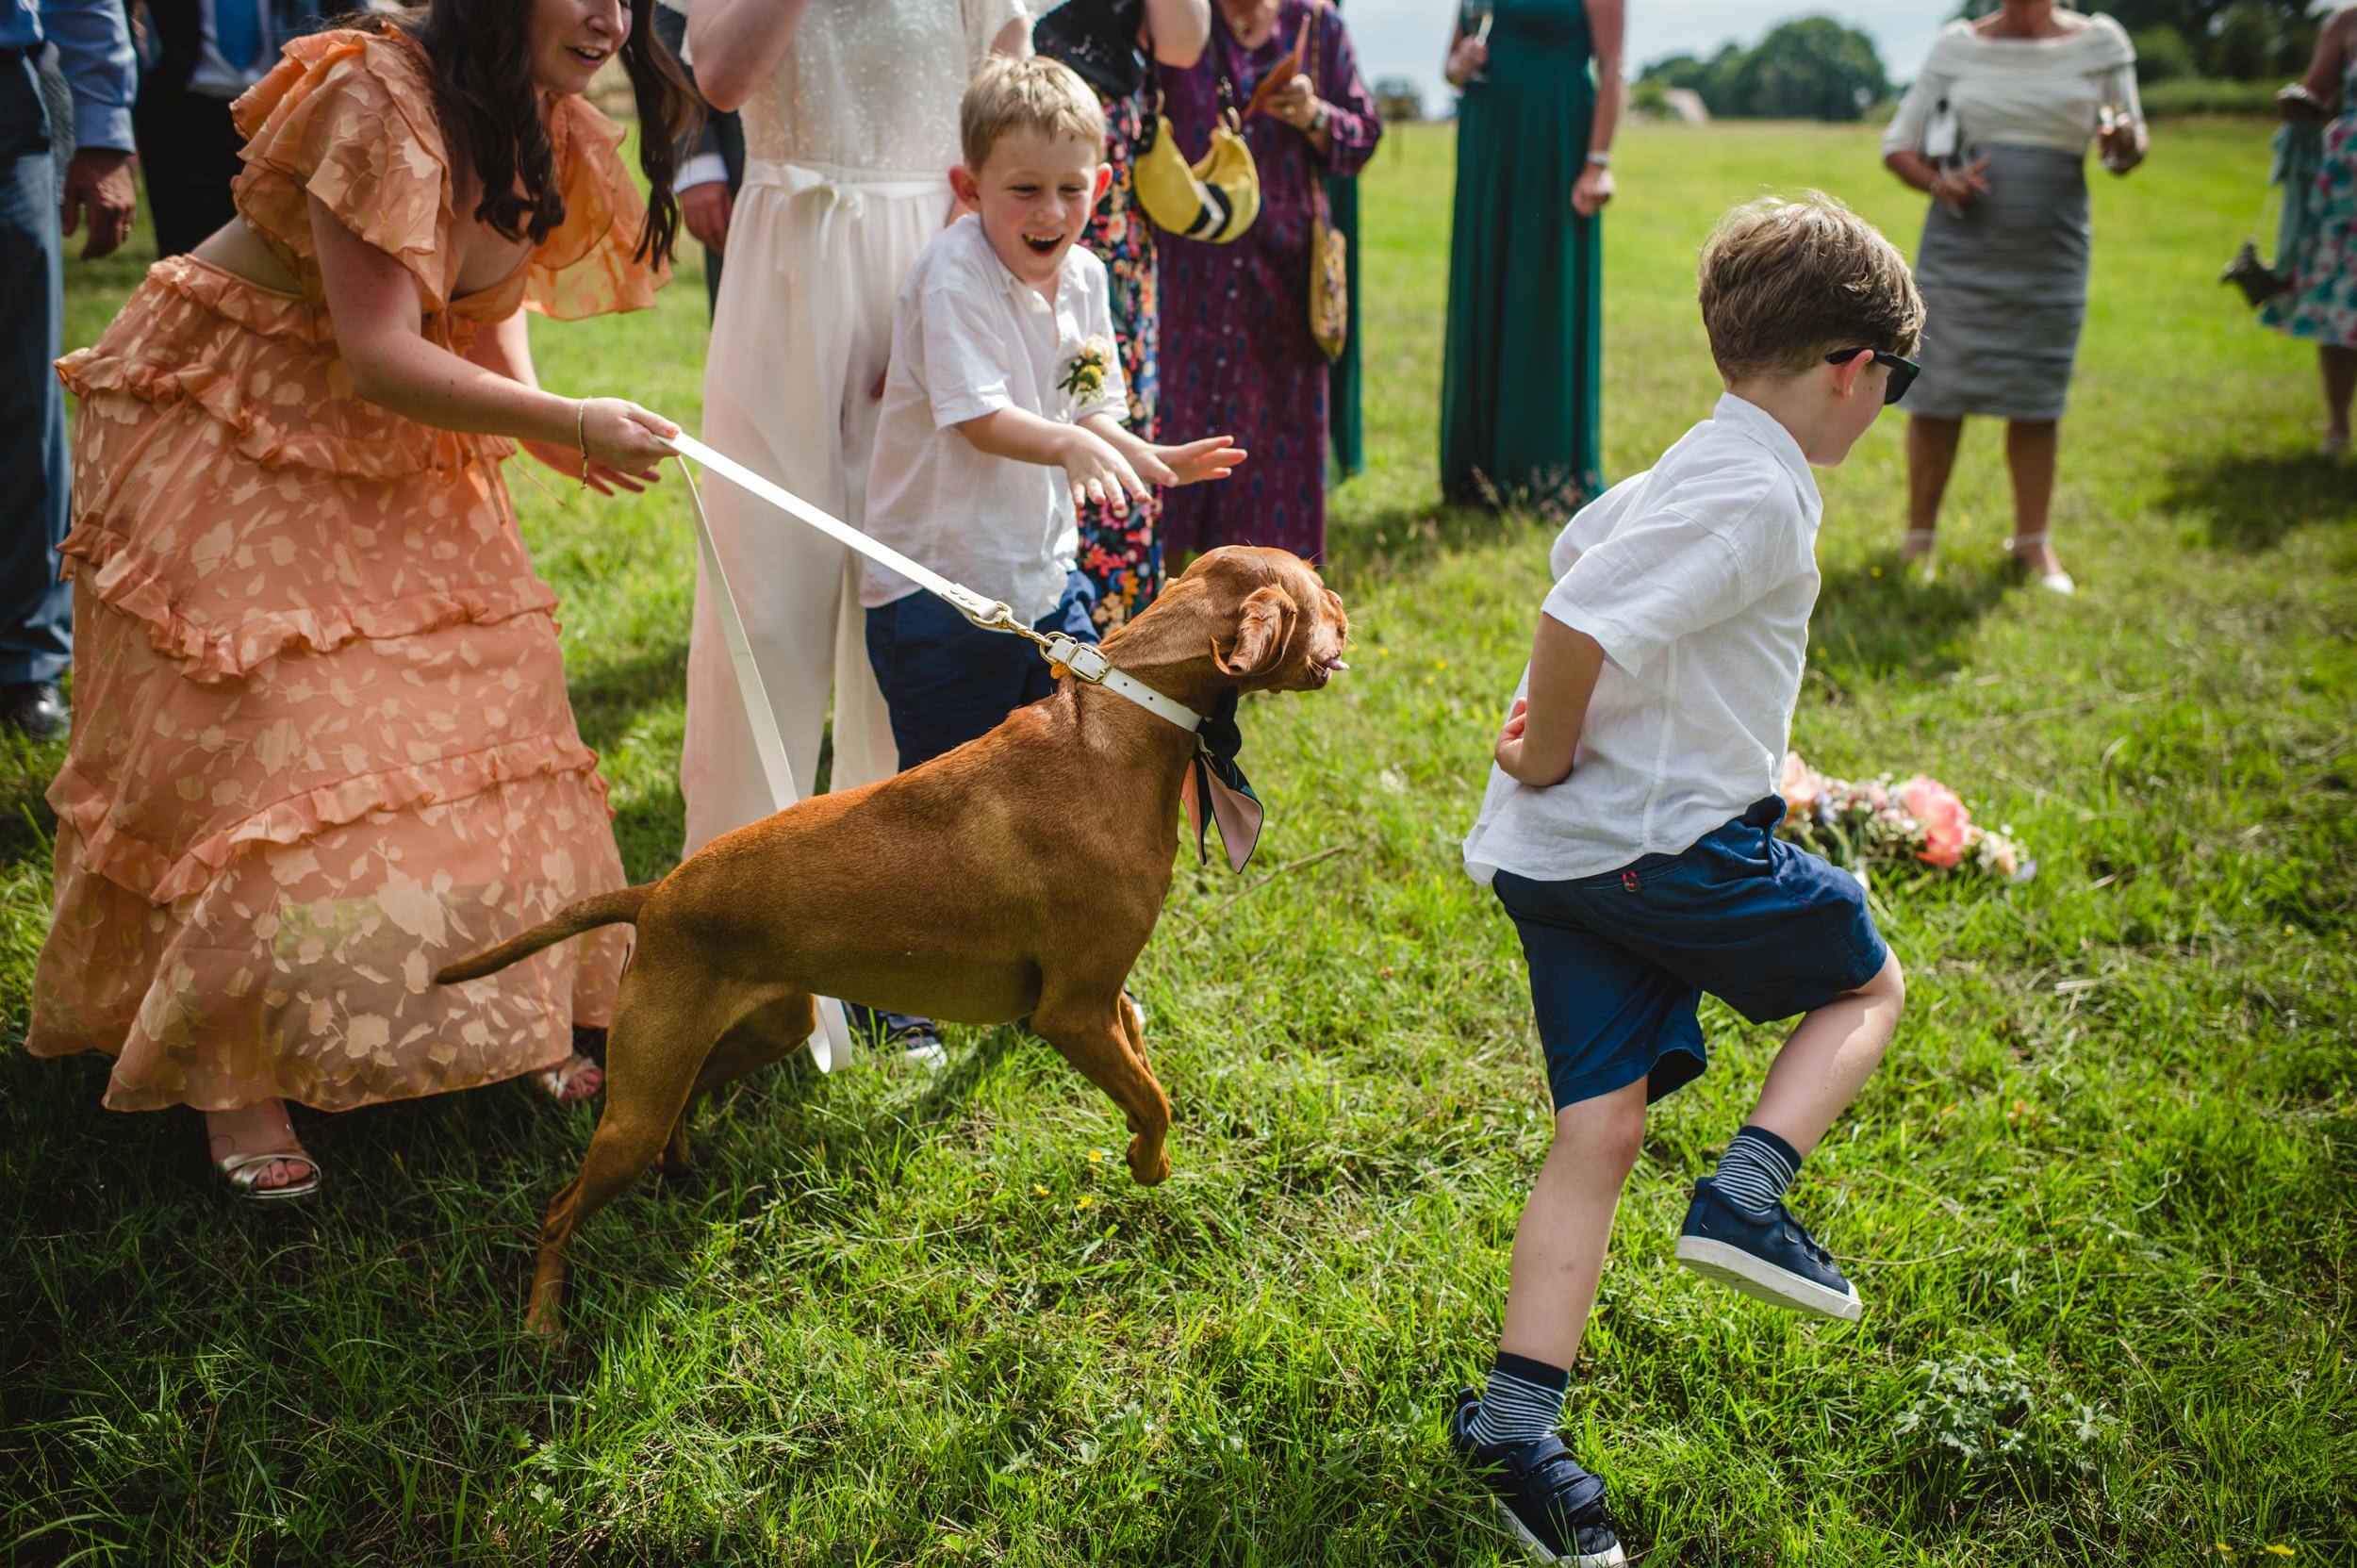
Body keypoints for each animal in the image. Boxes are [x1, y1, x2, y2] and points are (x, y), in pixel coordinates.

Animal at [438, 544, 1348, 1329]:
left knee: (683, 1108)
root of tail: (656, 892)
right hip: (635, 1106)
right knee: (560, 1208)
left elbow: (1147, 1075)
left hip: (760, 1033)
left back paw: (682, 1170)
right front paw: (1149, 1164)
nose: (1346, 610)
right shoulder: (1071, 1013)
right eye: (1317, 589)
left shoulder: (1107, 1001)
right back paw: (543, 1322)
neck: (1122, 721)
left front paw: (1142, 1149)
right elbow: (1155, 1099)